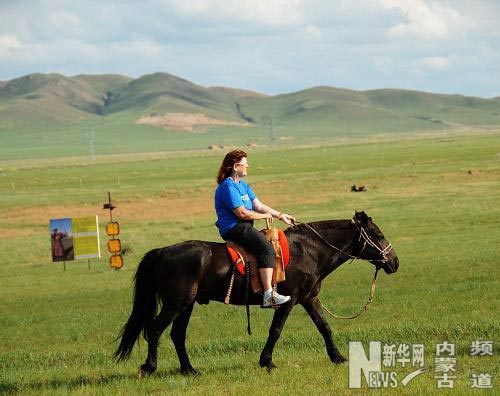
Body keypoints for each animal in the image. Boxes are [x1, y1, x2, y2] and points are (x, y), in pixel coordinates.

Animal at [113, 210, 398, 374]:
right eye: (377, 234)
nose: (394, 262)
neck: (309, 251)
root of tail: (163, 251)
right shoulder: (289, 301)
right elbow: (276, 331)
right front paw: (267, 362)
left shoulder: (309, 298)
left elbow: (324, 327)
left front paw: (338, 358)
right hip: (176, 303)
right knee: (155, 329)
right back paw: (150, 368)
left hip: (187, 305)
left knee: (177, 335)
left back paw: (189, 370)